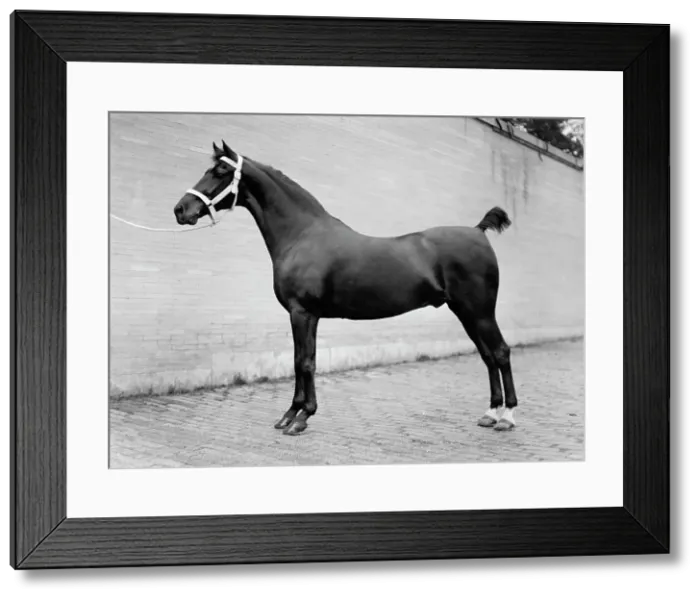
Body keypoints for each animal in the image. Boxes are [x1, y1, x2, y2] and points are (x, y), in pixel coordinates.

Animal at [173, 140, 519, 436]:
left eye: (220, 171)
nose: (181, 210)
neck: (302, 235)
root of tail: (478, 231)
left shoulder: (302, 313)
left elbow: (304, 362)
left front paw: (301, 418)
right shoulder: (307, 316)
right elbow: (301, 360)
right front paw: (291, 415)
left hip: (480, 311)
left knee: (500, 352)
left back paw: (507, 417)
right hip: (465, 312)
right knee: (488, 356)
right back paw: (490, 414)